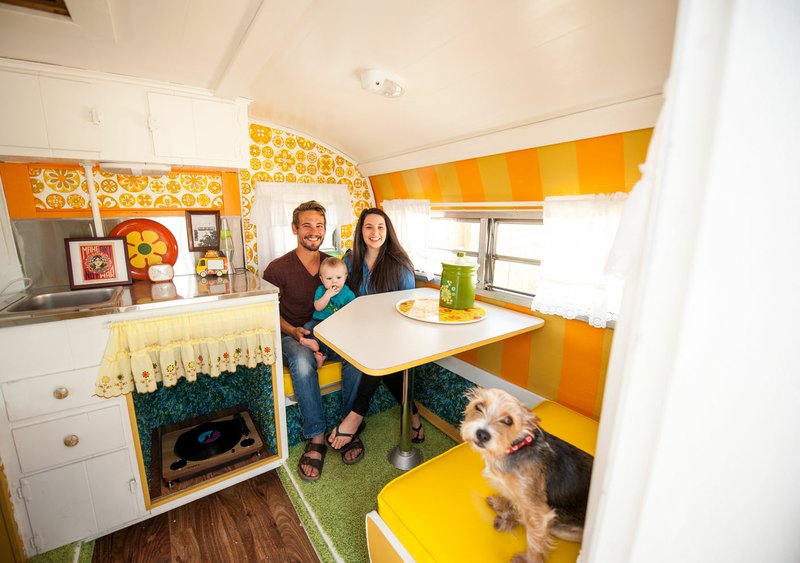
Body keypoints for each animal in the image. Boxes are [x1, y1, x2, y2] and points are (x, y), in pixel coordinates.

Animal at [456, 388, 592, 563]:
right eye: (478, 406)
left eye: (508, 420)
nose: (482, 434)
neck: (513, 448)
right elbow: (513, 504)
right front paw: (504, 509)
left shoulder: (538, 512)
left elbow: (535, 541)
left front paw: (528, 559)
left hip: (560, 529)